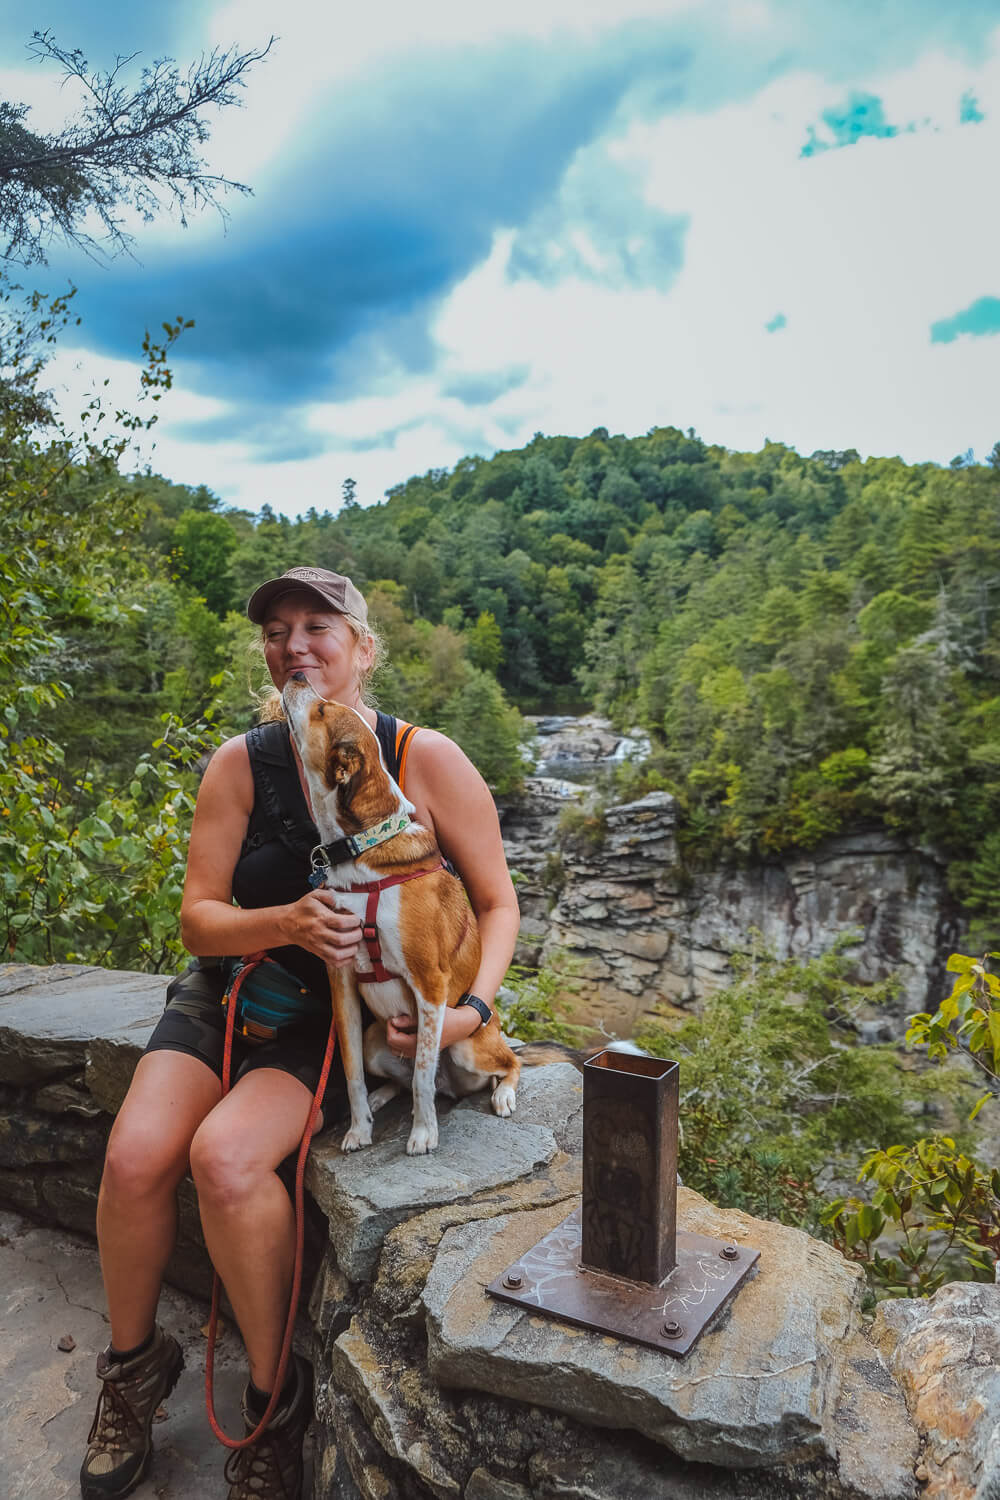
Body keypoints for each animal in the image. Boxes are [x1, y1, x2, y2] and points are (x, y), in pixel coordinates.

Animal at [277, 681, 521, 1158]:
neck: (361, 849)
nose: (296, 677)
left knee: (505, 1063)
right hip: (377, 1042)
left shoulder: (429, 983)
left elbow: (424, 1075)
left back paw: (502, 1093)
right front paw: (360, 1129)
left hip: (468, 1045)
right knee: (401, 1079)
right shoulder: (342, 984)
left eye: (321, 709)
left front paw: (423, 1134)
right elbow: (351, 1073)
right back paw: (382, 1097)